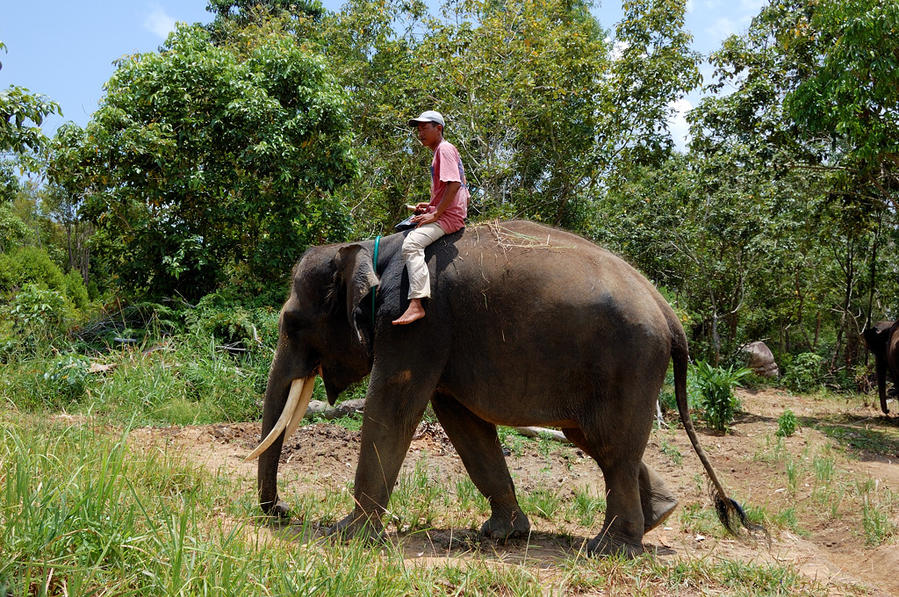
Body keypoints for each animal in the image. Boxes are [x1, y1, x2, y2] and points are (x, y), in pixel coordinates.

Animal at [248, 219, 760, 556]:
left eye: (292, 324)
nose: (283, 511)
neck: (379, 249)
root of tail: (670, 315)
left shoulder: (415, 323)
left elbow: (392, 408)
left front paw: (345, 535)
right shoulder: (439, 340)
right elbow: (462, 422)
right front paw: (502, 535)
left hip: (629, 363)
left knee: (612, 447)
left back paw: (609, 548)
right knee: (598, 441)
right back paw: (659, 517)